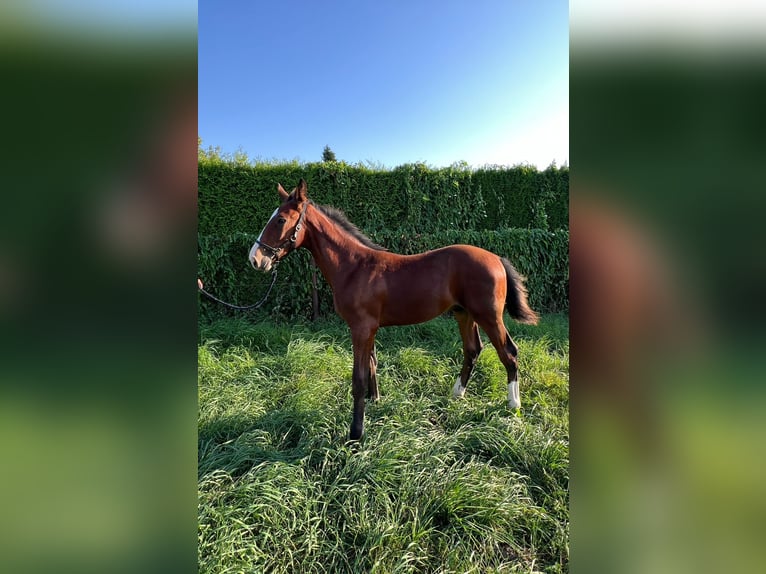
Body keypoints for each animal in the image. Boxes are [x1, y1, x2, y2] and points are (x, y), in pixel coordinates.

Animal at [249, 180, 536, 440]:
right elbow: (372, 365)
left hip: (489, 316)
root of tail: (496, 258)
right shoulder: (369, 329)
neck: (354, 267)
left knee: (509, 352)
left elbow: (358, 378)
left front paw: (356, 433)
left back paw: (513, 406)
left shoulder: (361, 328)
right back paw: (457, 395)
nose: (255, 259)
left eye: (280, 220)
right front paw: (375, 402)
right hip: (463, 313)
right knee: (473, 349)